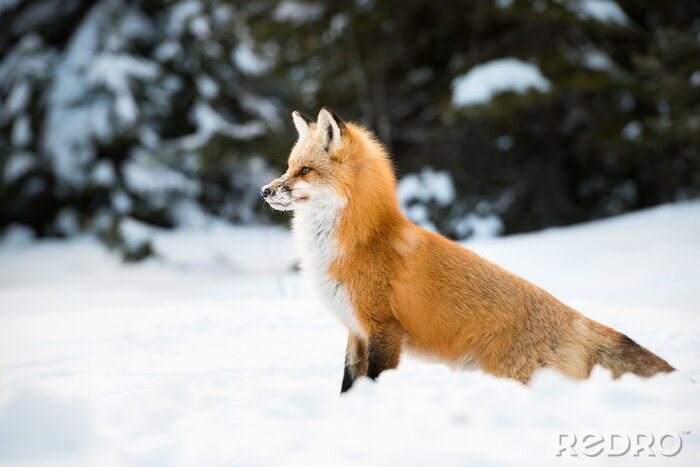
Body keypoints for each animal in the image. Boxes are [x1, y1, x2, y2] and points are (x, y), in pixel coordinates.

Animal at [261, 107, 675, 393]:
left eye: (305, 171)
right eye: (289, 167)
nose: (265, 190)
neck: (360, 242)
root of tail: (576, 319)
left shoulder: (384, 330)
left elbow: (374, 382)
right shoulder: (355, 329)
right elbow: (349, 384)